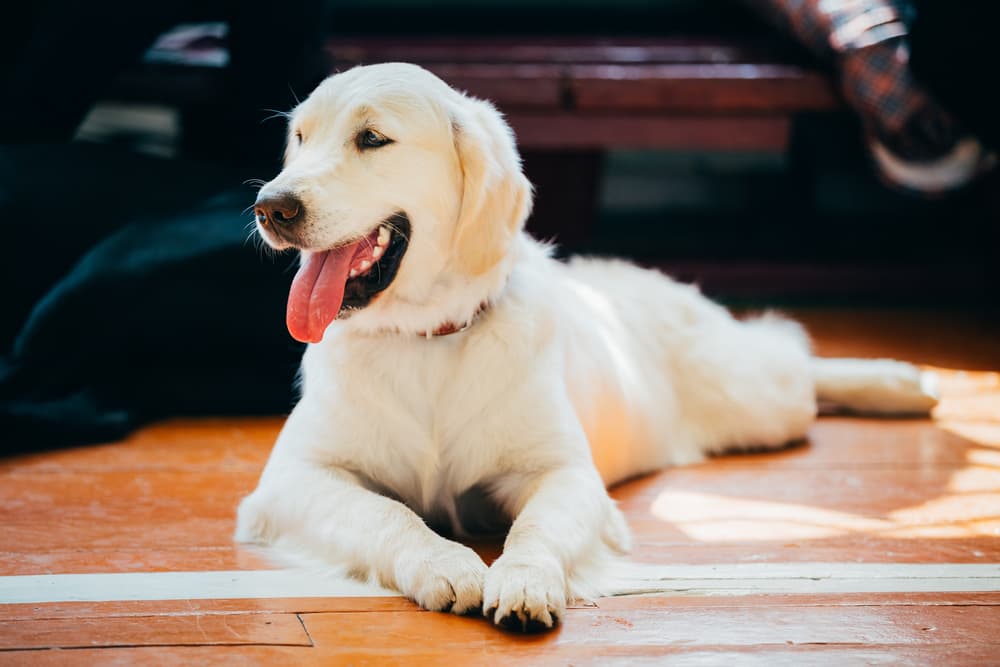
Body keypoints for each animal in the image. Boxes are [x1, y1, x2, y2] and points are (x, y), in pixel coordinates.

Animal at [238, 62, 940, 632]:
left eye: (372, 138)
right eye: (300, 139)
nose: (270, 206)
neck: (427, 337)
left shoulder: (565, 473)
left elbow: (536, 526)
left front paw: (524, 580)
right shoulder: (293, 480)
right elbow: (389, 515)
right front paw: (444, 563)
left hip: (759, 400)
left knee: (793, 353)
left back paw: (905, 382)